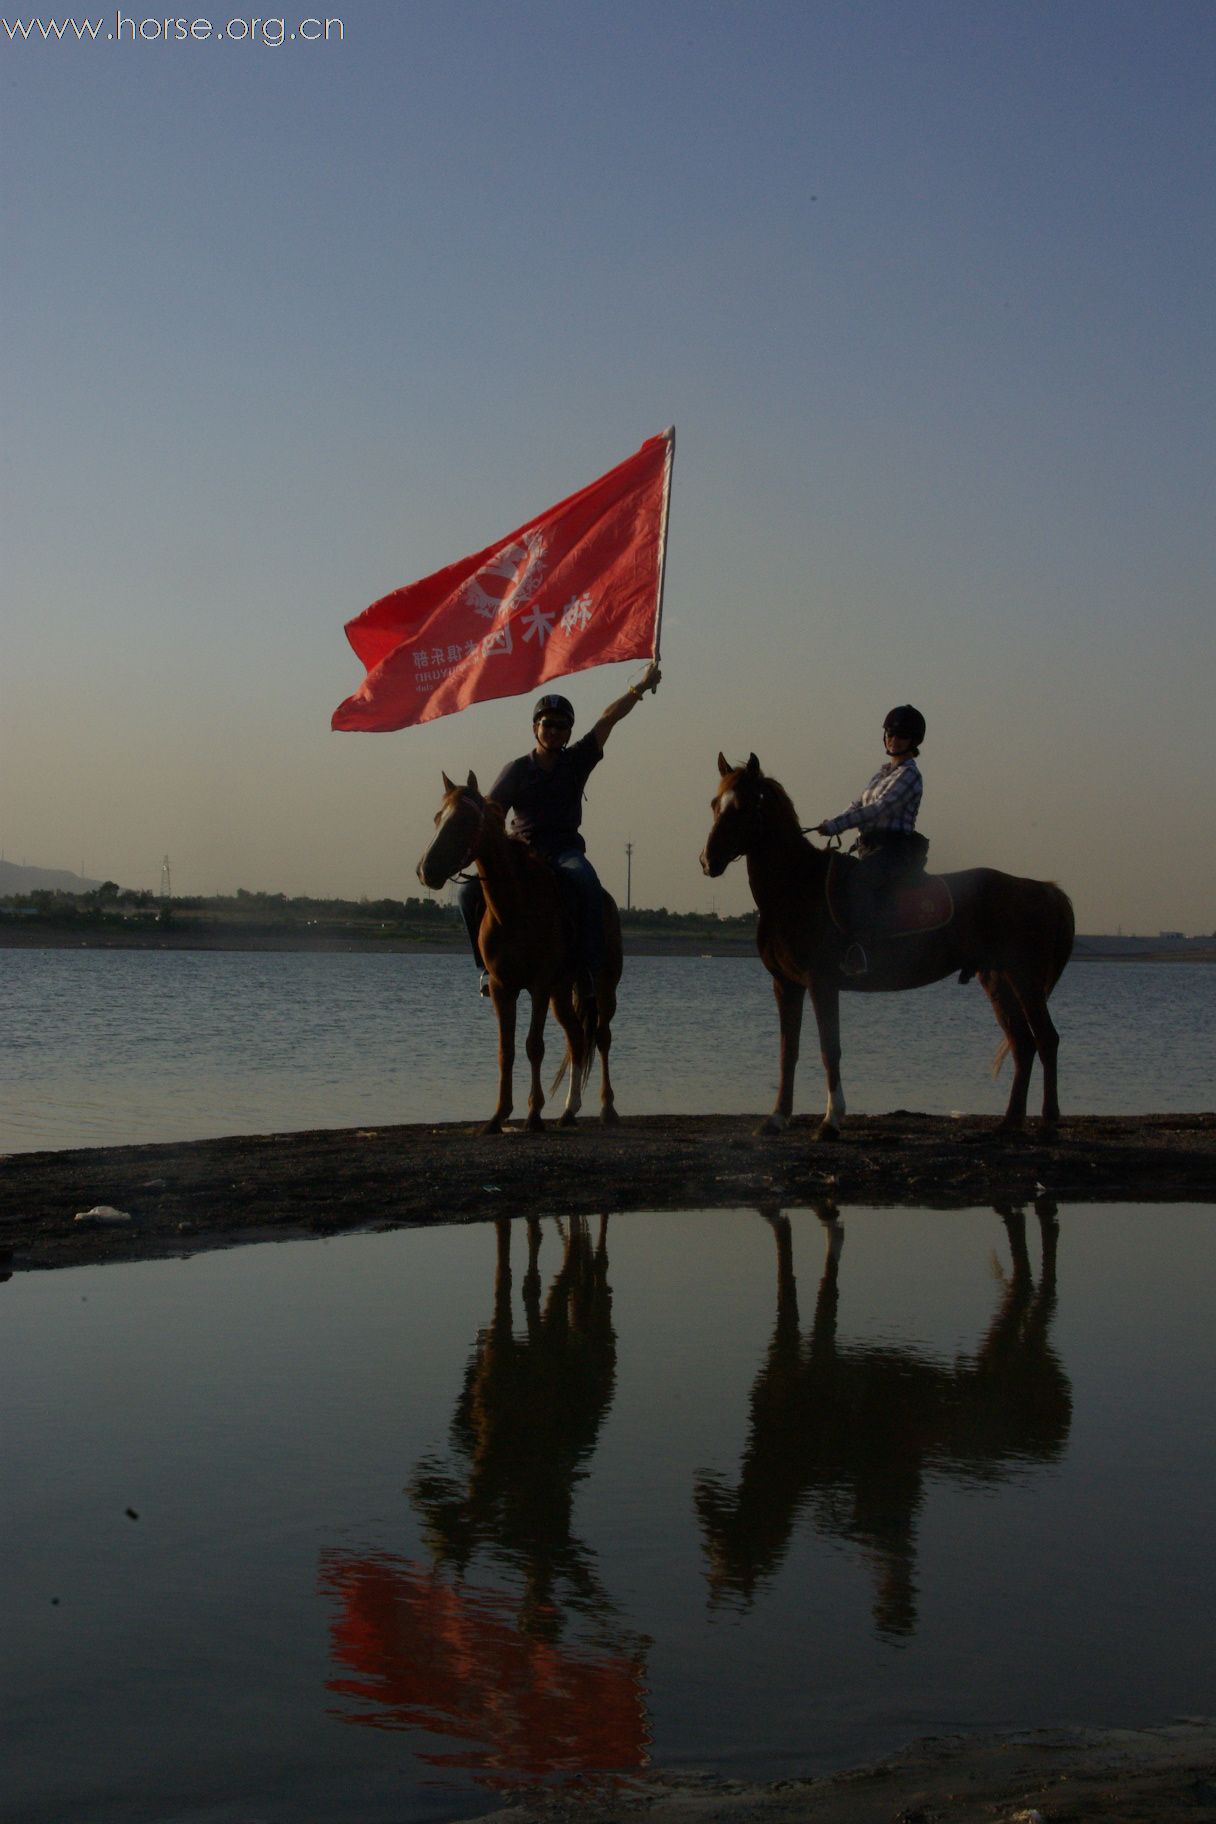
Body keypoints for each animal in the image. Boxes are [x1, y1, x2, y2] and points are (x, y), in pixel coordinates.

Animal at [421, 773, 627, 1138]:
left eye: (463, 821)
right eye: (437, 818)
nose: (426, 870)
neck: (513, 908)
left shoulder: (539, 986)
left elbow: (534, 1045)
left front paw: (533, 1115)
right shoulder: (502, 988)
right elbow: (507, 1050)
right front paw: (498, 1116)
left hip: (603, 985)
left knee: (602, 1037)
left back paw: (607, 1108)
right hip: (563, 991)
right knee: (576, 1037)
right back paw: (568, 1111)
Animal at [703, 755, 1071, 1138]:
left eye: (743, 807)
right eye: (715, 804)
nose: (708, 861)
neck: (797, 888)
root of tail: (1043, 889)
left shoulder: (822, 982)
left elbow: (829, 1049)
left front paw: (830, 1121)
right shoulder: (785, 984)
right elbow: (788, 1052)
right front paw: (776, 1118)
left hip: (1026, 978)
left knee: (1046, 1040)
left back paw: (1047, 1122)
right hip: (998, 980)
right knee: (1023, 1043)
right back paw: (1009, 1122)